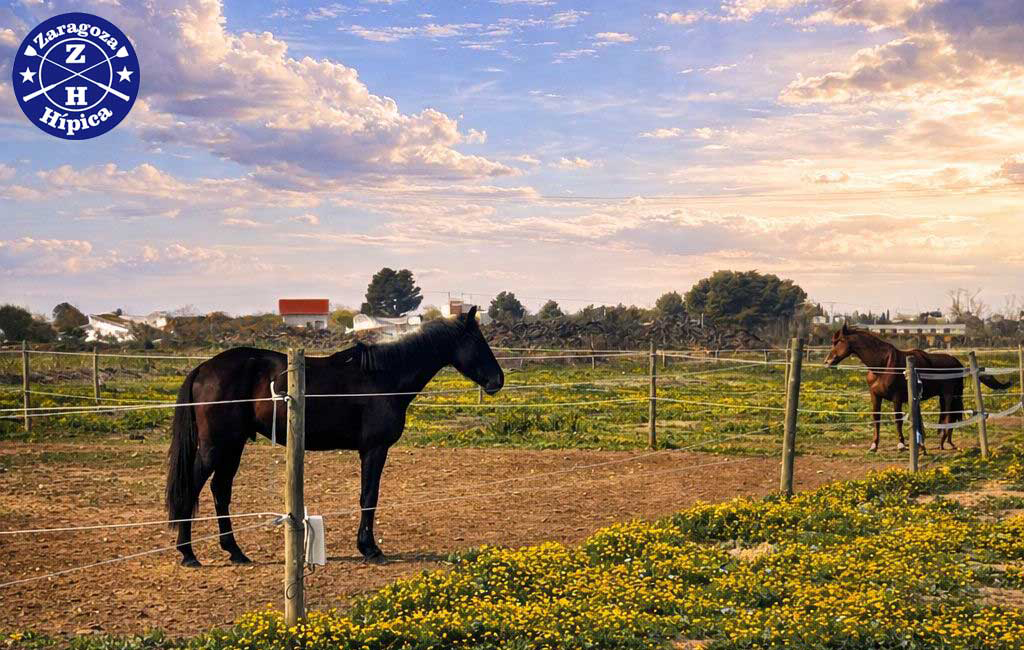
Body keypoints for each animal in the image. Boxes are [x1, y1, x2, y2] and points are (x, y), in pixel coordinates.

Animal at [165, 307, 503, 567]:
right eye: (477, 341)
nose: (497, 380)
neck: (383, 377)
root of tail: (204, 368)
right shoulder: (374, 449)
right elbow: (369, 497)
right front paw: (370, 549)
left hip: (232, 446)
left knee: (220, 491)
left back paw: (235, 551)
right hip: (216, 447)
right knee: (194, 487)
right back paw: (188, 553)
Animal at [824, 323, 1012, 452]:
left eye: (839, 341)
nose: (827, 361)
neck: (882, 365)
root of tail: (958, 363)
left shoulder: (897, 398)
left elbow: (898, 420)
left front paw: (901, 444)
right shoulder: (875, 397)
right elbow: (876, 419)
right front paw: (874, 445)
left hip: (948, 395)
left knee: (949, 415)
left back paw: (943, 442)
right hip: (945, 396)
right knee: (949, 416)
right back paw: (946, 442)